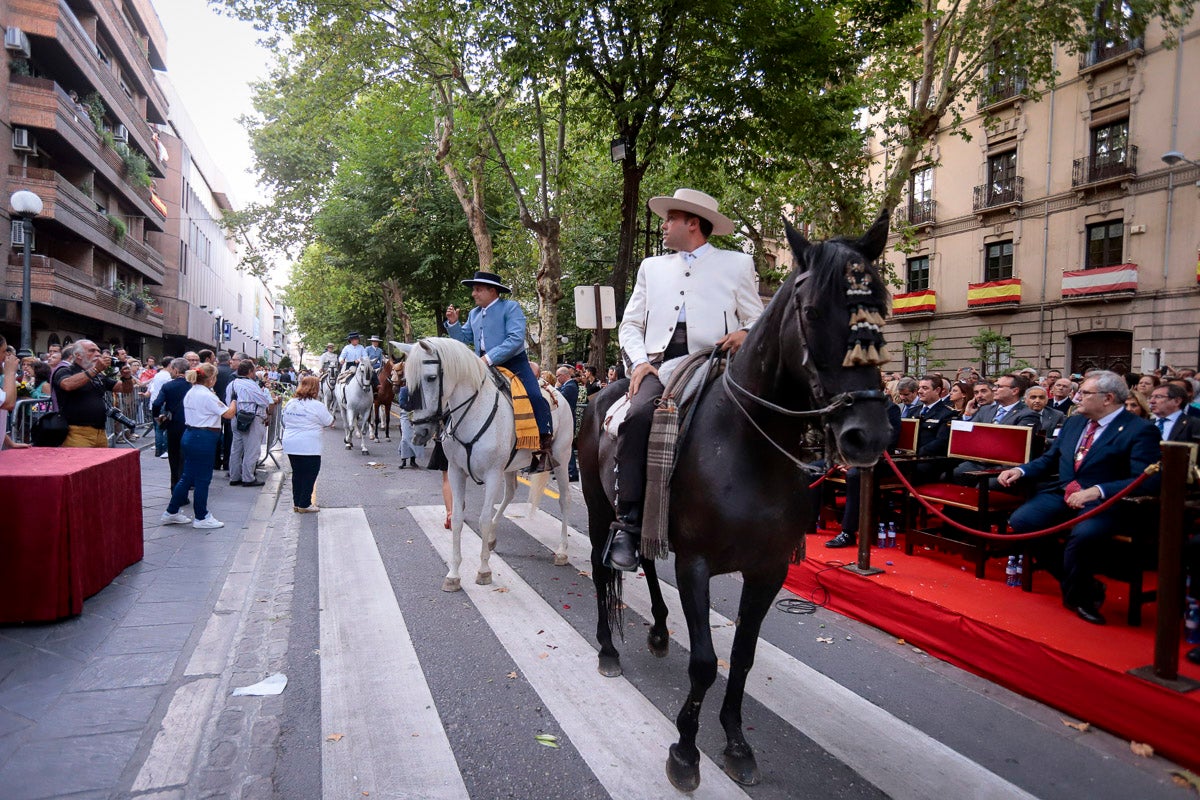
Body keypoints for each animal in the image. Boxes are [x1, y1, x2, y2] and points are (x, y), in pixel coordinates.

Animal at [400, 335, 573, 592]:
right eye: (407, 381)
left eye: (430, 377)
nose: (420, 433)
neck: (473, 413)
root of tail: (555, 390)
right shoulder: (456, 471)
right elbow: (458, 518)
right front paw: (453, 574)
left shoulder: (492, 474)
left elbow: (481, 518)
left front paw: (483, 570)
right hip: (510, 467)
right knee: (510, 493)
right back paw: (491, 538)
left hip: (561, 458)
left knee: (564, 500)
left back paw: (561, 551)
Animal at [576, 209, 897, 791]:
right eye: (812, 310)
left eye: (879, 307)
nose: (868, 434)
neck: (750, 449)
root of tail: (602, 391)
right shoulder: (698, 564)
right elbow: (705, 661)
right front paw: (685, 751)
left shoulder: (768, 569)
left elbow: (742, 658)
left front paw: (736, 742)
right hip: (596, 508)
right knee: (600, 566)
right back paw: (609, 649)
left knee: (645, 560)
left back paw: (660, 628)